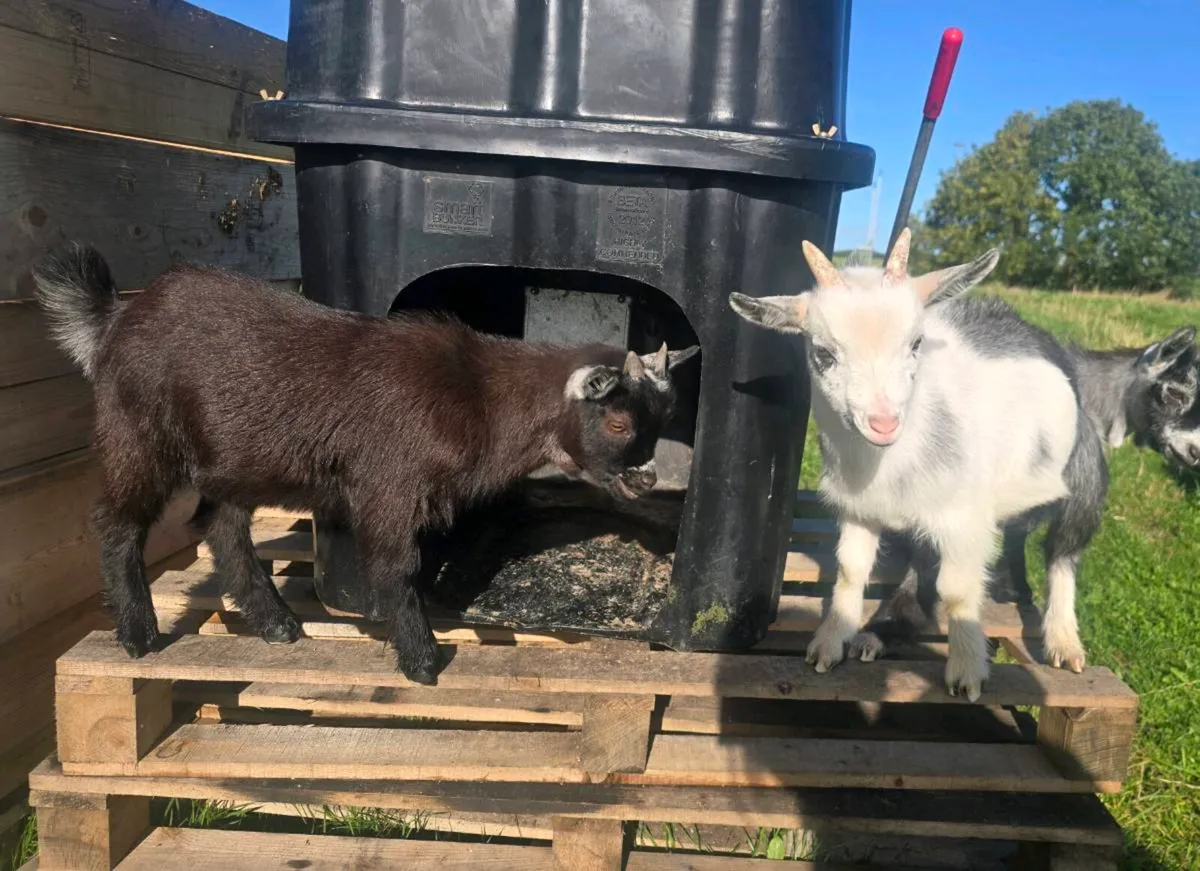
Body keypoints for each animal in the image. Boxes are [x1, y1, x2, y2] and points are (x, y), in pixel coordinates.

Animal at [33, 244, 698, 684]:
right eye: (618, 423)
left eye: (663, 419)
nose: (644, 478)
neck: (480, 394)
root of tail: (117, 319)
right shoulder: (390, 485)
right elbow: (396, 567)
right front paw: (422, 659)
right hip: (140, 435)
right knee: (118, 521)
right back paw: (139, 635)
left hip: (232, 460)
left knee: (221, 528)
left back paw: (277, 624)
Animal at [728, 230, 1107, 701]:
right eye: (823, 353)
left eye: (915, 344)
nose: (884, 423)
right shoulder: (860, 509)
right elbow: (851, 570)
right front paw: (830, 643)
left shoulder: (965, 518)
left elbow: (958, 592)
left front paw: (967, 673)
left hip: (1085, 473)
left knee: (1063, 553)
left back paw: (1062, 640)